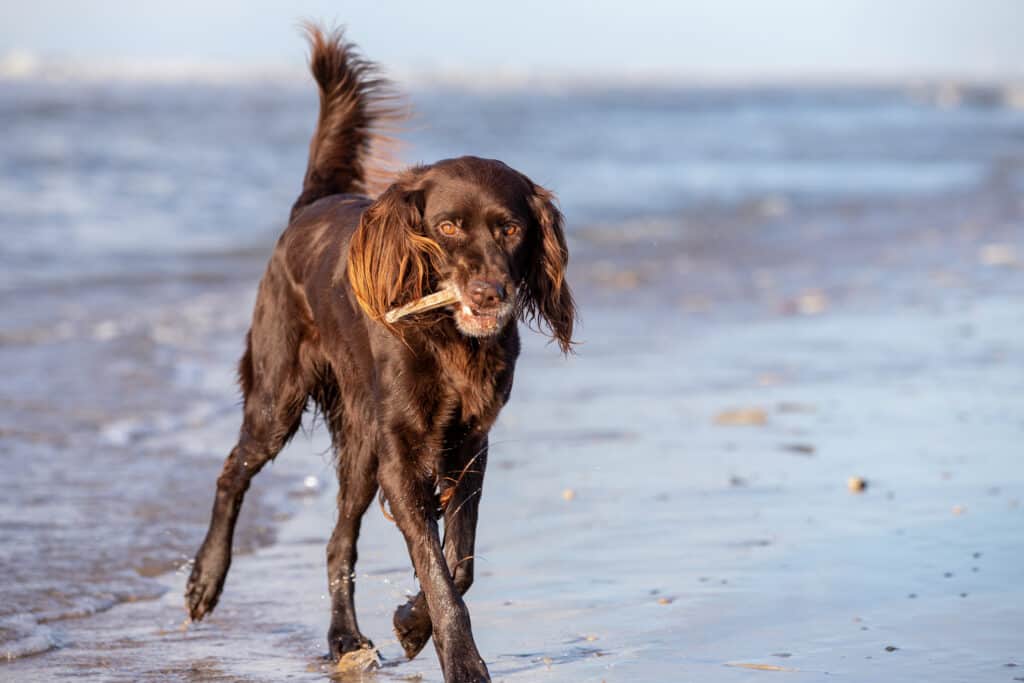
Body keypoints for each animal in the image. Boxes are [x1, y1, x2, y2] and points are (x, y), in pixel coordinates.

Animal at [185, 24, 577, 679]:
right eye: (447, 226)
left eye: (511, 229)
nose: (489, 292)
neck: (447, 336)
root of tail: (311, 205)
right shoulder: (403, 454)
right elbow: (440, 570)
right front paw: (461, 660)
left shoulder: (468, 444)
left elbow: (458, 562)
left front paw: (412, 624)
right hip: (280, 398)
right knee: (232, 471)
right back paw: (205, 580)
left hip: (362, 446)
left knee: (337, 541)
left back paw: (344, 637)